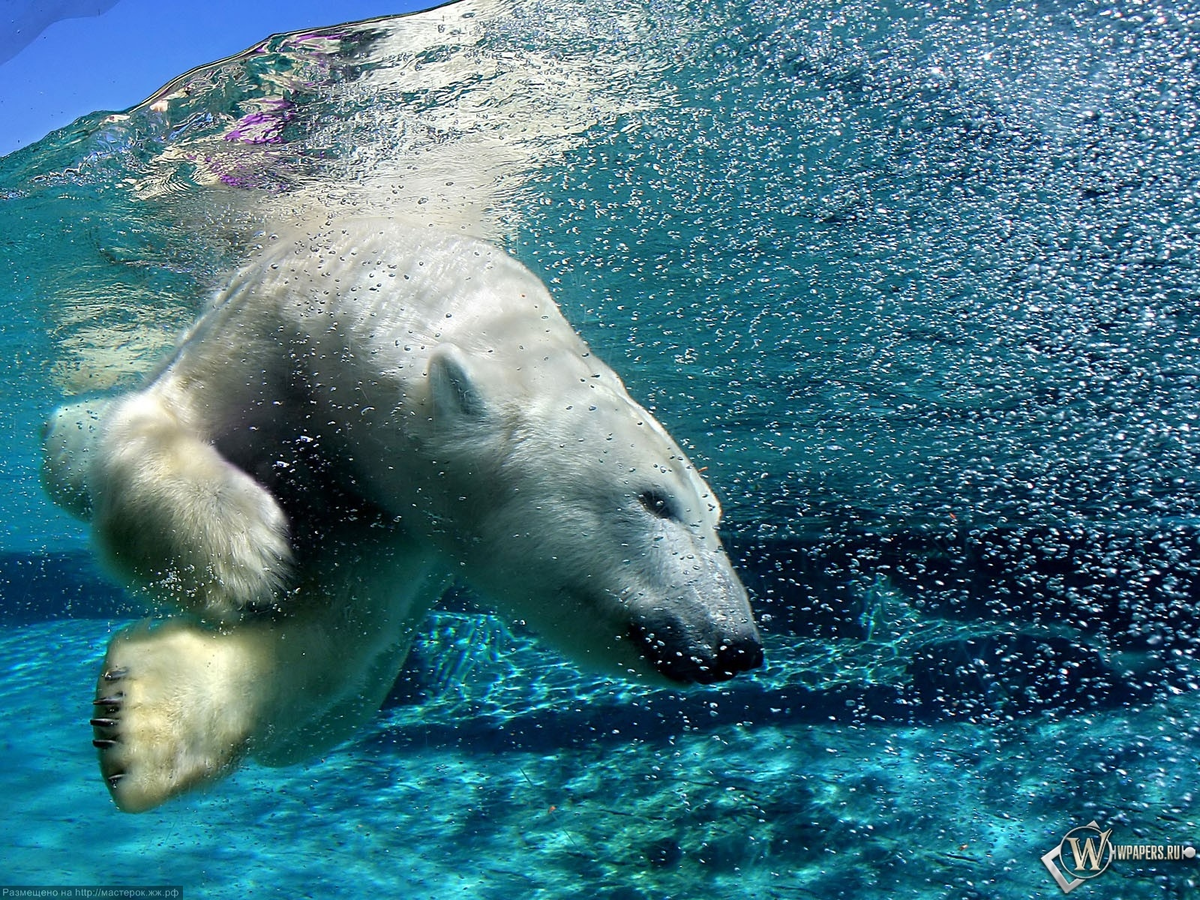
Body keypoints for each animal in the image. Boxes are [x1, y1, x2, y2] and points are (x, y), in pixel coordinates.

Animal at [46, 220, 763, 816]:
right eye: (655, 500)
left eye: (715, 516)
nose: (735, 646)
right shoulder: (267, 335)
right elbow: (161, 421)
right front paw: (242, 554)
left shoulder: (399, 523)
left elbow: (333, 632)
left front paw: (136, 720)